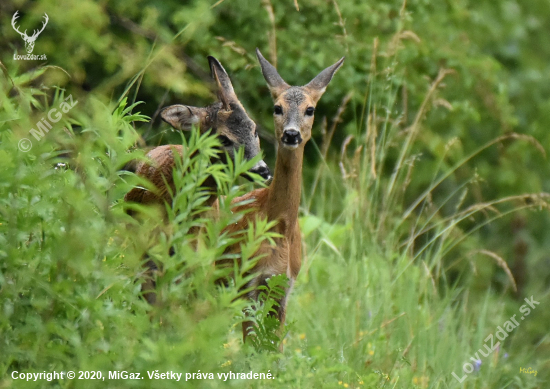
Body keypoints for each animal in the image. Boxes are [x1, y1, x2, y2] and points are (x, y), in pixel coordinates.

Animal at [219, 48, 344, 342]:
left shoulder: (283, 286)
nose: (291, 134)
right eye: (277, 108)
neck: (279, 227)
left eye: (310, 109)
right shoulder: (247, 282)